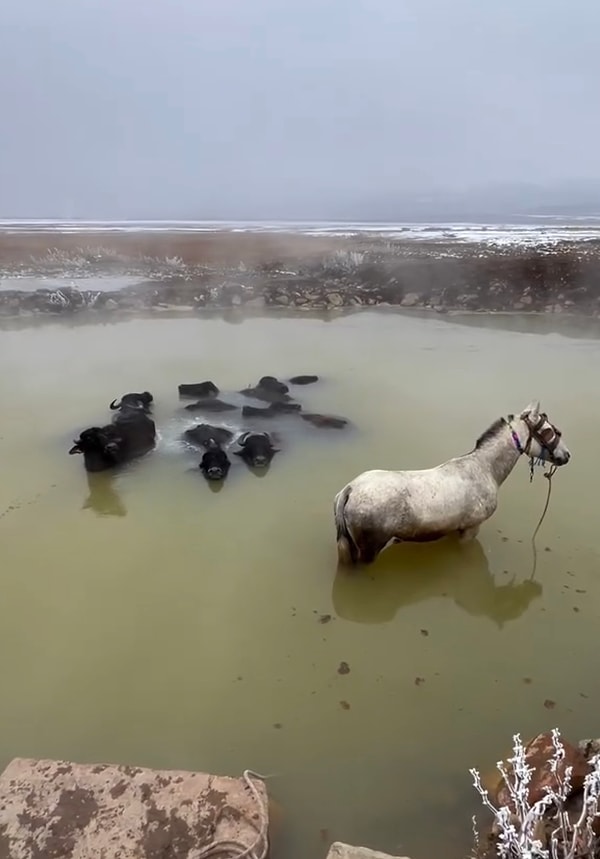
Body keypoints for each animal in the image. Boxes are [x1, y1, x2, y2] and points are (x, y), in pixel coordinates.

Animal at [332, 402, 572, 568]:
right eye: (550, 431)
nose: (566, 455)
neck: (484, 468)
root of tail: (349, 490)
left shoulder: (453, 529)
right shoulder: (471, 530)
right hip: (369, 549)